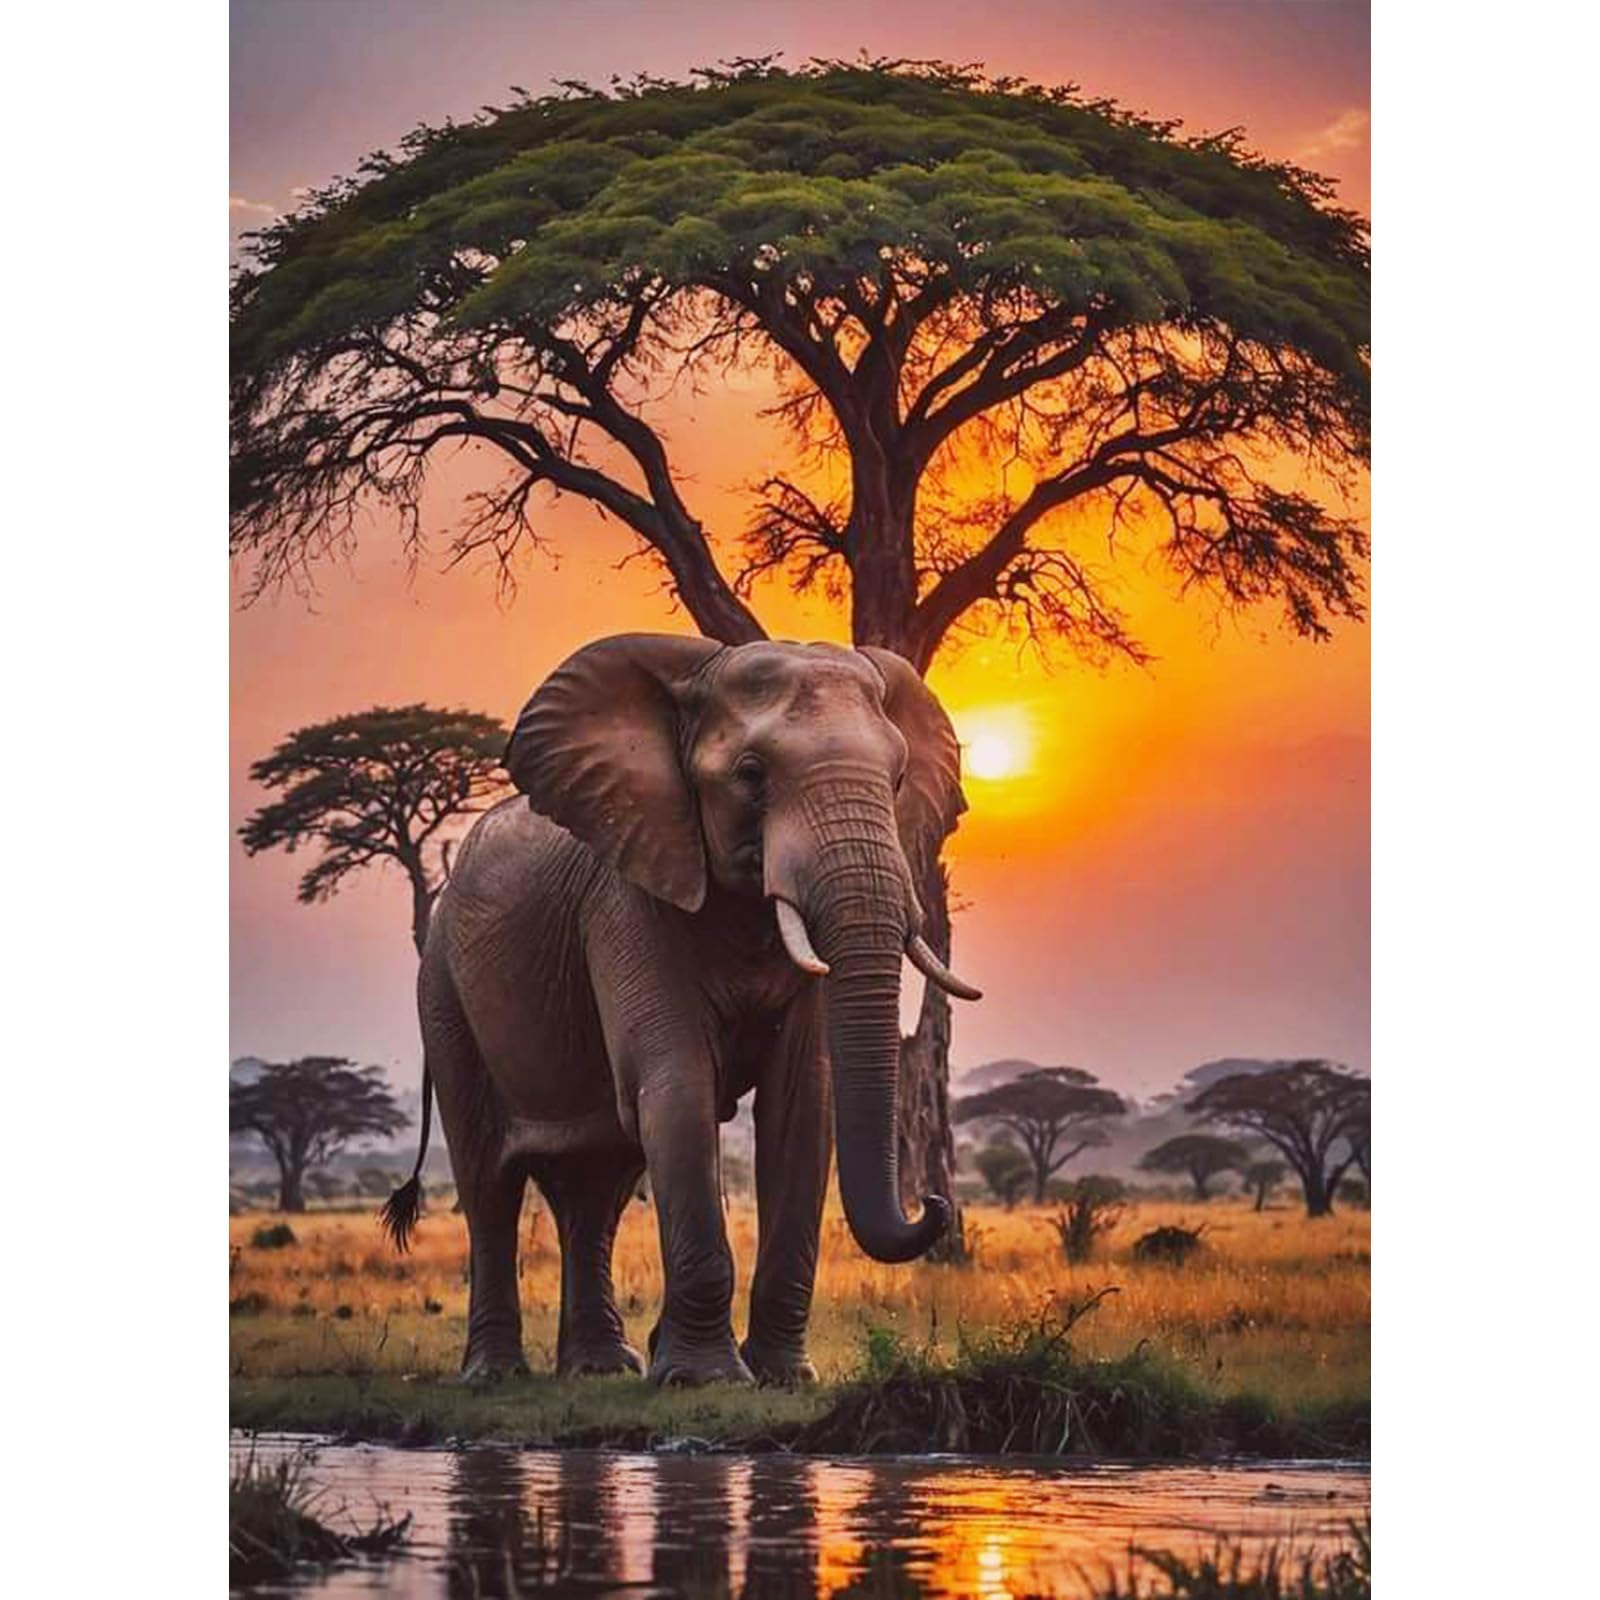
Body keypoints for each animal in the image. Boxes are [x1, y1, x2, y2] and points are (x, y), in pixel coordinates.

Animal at [381, 633, 981, 1386]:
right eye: (751, 774)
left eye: (897, 777)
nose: (932, 1203)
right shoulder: (624, 898)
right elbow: (677, 1084)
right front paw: (706, 1379)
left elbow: (803, 1102)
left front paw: (782, 1378)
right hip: (443, 993)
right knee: (490, 1182)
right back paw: (497, 1376)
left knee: (597, 1189)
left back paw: (601, 1369)